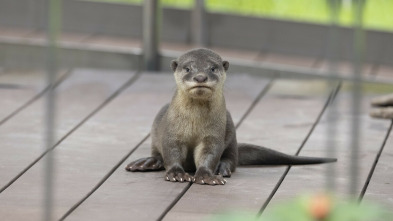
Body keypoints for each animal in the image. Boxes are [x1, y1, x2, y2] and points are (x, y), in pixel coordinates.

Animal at [125, 48, 334, 185]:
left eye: (212, 68)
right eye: (187, 69)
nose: (200, 77)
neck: (194, 122)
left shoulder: (213, 136)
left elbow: (209, 154)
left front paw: (207, 175)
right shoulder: (172, 133)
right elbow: (172, 152)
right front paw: (177, 173)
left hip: (231, 133)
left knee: (231, 159)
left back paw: (222, 168)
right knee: (158, 154)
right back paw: (148, 162)